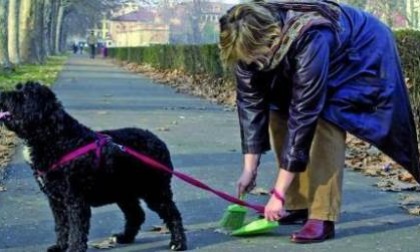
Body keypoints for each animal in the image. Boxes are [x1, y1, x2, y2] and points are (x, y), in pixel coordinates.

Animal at [0, 81, 187, 251]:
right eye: (18, 88)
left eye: (25, 95)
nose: (3, 95)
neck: (58, 137)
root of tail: (159, 142)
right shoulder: (56, 200)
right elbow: (61, 226)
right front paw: (60, 246)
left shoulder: (75, 199)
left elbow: (77, 229)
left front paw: (74, 249)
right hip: (123, 191)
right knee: (136, 215)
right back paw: (125, 237)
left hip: (154, 190)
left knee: (173, 214)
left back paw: (178, 243)